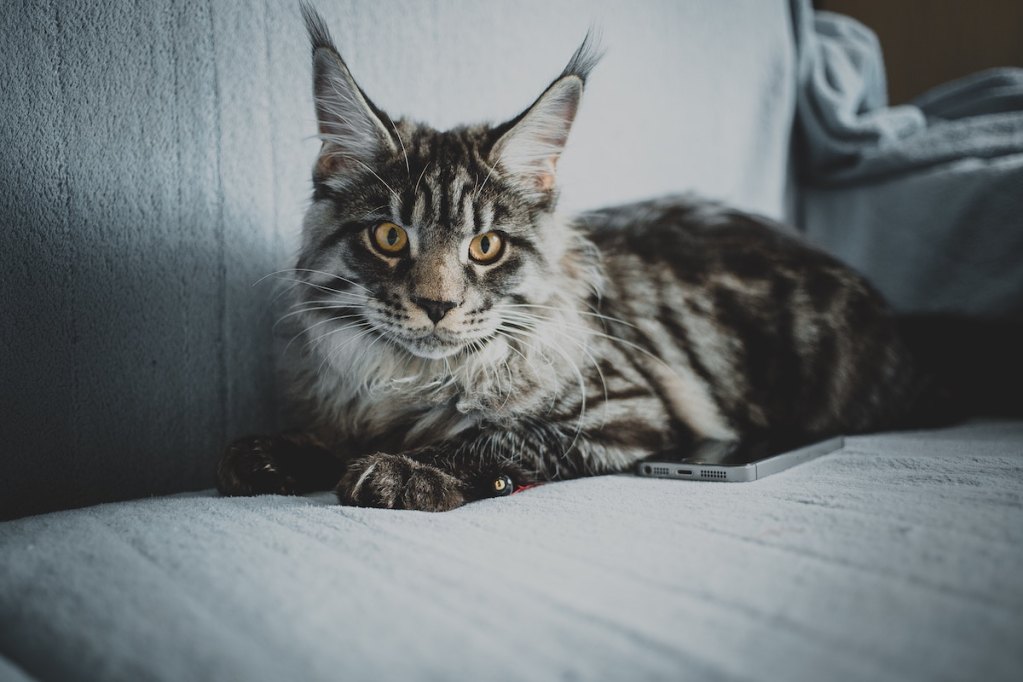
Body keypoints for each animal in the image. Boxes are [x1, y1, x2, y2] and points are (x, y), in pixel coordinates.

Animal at [215, 2, 937, 509]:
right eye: (390, 238)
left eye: (486, 246)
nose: (437, 305)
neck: (412, 379)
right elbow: (338, 435)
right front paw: (278, 454)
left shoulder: (624, 410)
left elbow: (488, 436)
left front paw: (403, 470)